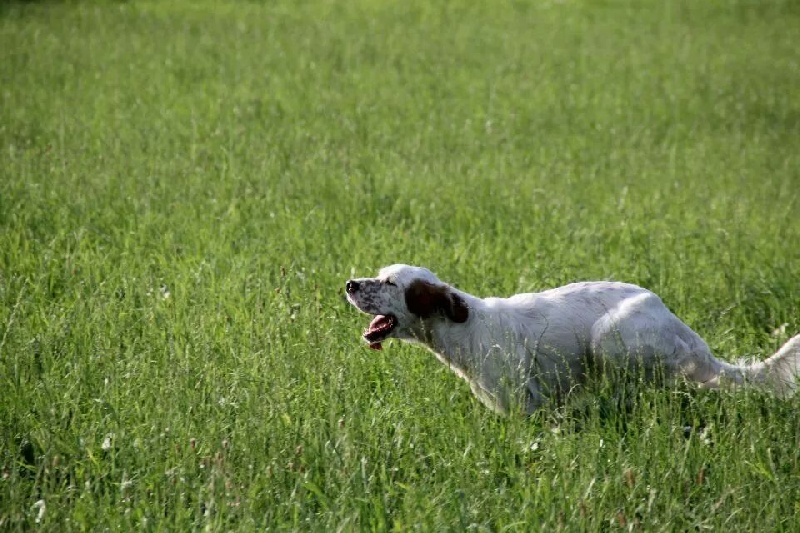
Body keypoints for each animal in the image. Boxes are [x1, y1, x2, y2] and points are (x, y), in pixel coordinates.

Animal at [346, 264, 800, 414]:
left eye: (390, 282)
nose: (349, 284)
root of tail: (682, 328)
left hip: (609, 336)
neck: (464, 326)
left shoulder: (524, 404)